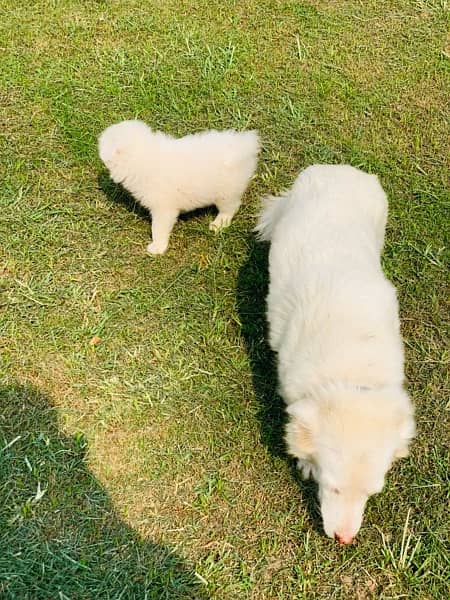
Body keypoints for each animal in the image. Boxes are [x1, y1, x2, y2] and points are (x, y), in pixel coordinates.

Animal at [98, 120, 260, 254]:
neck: (142, 157)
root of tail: (244, 145)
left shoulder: (163, 209)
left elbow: (158, 228)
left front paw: (157, 247)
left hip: (226, 193)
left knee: (230, 208)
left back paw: (219, 223)